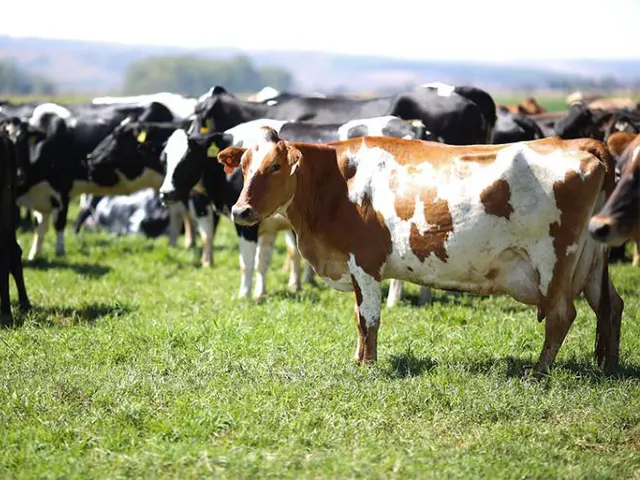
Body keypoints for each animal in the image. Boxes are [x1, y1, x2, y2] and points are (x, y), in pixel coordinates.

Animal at [221, 127, 624, 376]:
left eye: (275, 166)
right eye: (243, 167)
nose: (240, 211)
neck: (337, 180)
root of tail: (580, 143)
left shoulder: (365, 262)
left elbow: (369, 318)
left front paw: (368, 366)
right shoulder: (353, 266)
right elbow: (358, 317)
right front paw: (357, 359)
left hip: (553, 259)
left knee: (561, 315)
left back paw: (537, 373)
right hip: (590, 263)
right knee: (610, 306)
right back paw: (608, 366)